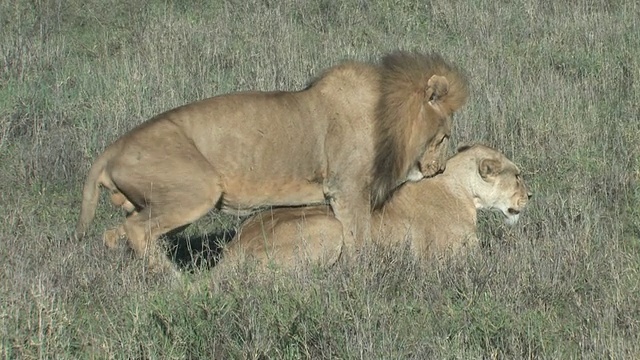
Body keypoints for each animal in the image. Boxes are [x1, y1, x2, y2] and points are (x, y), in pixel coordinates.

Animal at [75, 50, 468, 270]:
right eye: (444, 136)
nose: (439, 169)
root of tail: (112, 149)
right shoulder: (347, 189)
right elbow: (359, 240)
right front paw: (362, 277)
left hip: (159, 205)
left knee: (117, 233)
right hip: (197, 191)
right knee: (134, 231)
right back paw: (174, 282)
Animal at [218, 145, 532, 268]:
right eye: (517, 175)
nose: (531, 195)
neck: (464, 191)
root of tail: (233, 249)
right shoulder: (445, 258)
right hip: (330, 227)